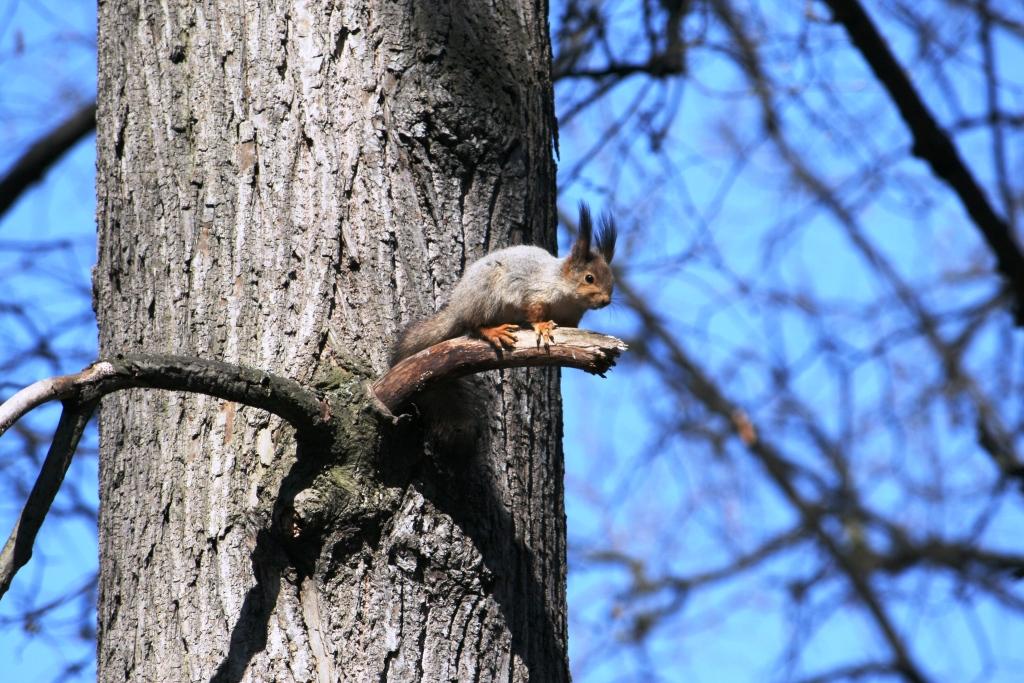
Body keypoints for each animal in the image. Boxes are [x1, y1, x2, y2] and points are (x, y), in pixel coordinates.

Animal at [389, 201, 614, 366]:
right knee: (474, 324)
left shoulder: (572, 316)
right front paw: (542, 326)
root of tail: (458, 307)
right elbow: (534, 311)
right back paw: (494, 331)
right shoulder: (536, 291)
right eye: (589, 278)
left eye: (612, 281)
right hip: (485, 295)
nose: (606, 301)